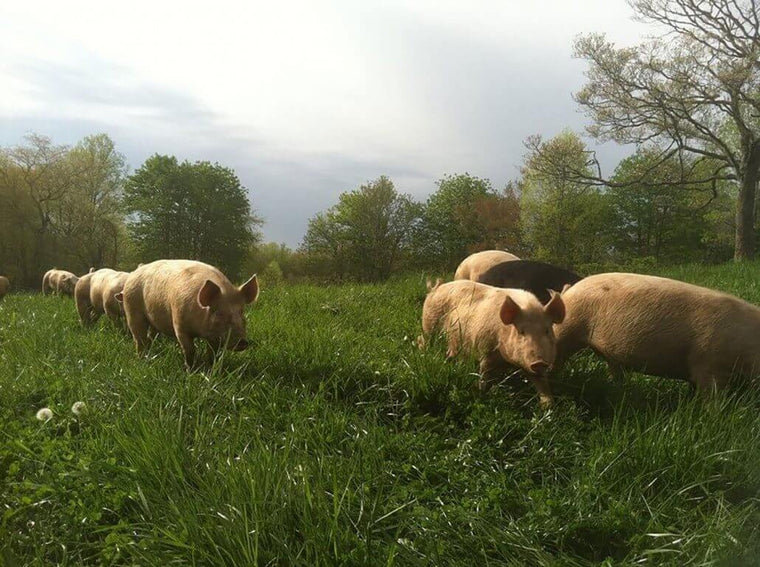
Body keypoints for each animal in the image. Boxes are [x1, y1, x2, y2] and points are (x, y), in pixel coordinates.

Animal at [119, 260, 260, 370]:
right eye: (219, 313)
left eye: (241, 312)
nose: (242, 342)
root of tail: (136, 271)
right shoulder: (179, 325)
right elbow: (190, 350)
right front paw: (190, 370)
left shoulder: (213, 336)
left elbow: (213, 353)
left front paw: (210, 368)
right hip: (132, 308)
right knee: (139, 338)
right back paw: (142, 359)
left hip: (153, 318)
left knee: (150, 336)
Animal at [418, 278, 568, 404]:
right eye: (521, 332)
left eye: (547, 330)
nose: (539, 362)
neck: (507, 363)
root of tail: (436, 288)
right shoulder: (486, 351)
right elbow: (484, 375)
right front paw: (481, 394)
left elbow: (542, 384)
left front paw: (548, 407)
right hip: (429, 326)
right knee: (423, 339)